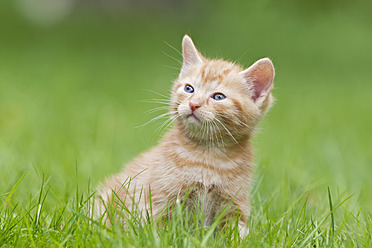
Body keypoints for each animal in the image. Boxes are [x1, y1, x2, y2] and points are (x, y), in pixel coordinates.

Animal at [96, 35, 274, 236]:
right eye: (189, 89)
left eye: (218, 97)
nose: (194, 104)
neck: (208, 156)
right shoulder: (158, 200)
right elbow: (159, 230)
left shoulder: (234, 204)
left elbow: (237, 232)